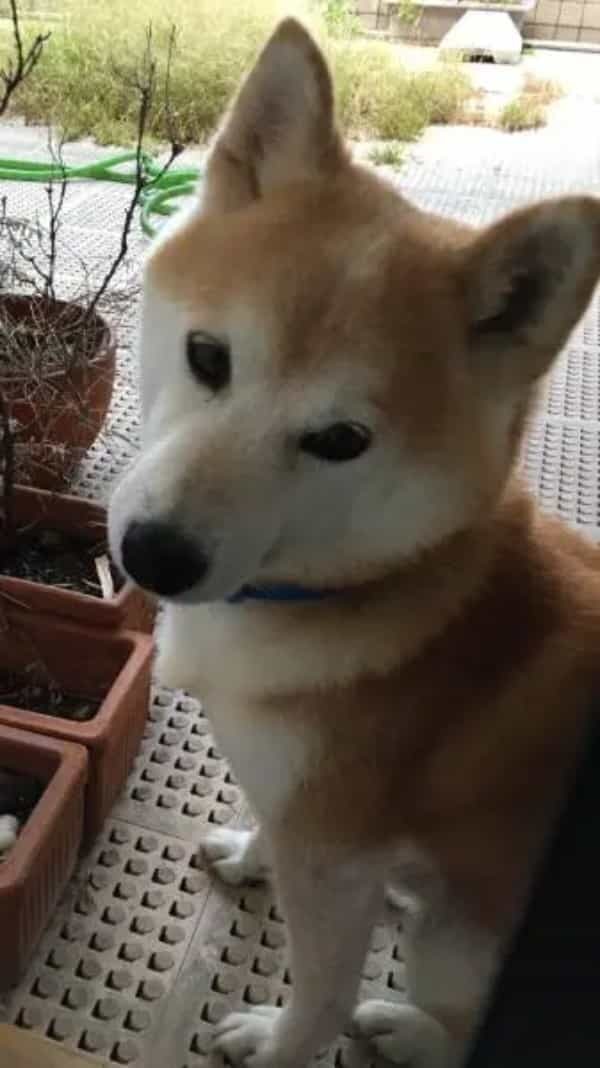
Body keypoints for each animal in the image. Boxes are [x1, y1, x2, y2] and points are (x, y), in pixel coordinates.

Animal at [108, 16, 600, 1068]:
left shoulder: (340, 864)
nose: (158, 553)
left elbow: (321, 999)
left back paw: (406, 1028)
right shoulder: (309, 825)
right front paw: (249, 853)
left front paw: (279, 1042)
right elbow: (270, 826)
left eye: (341, 441)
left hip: (452, 941)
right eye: (208, 356)